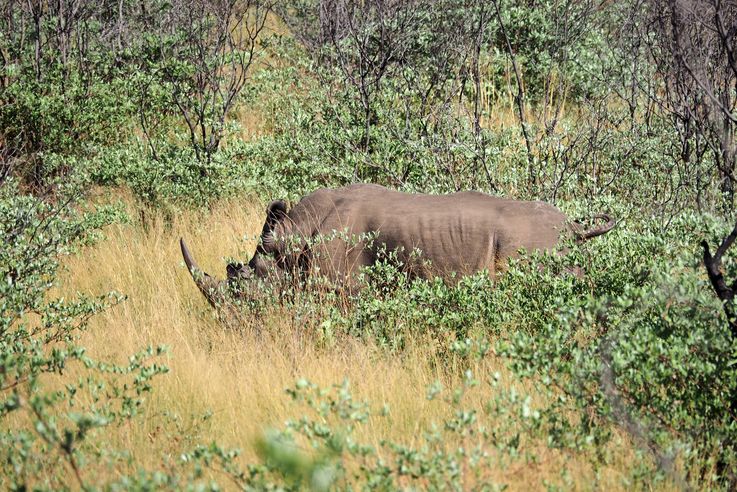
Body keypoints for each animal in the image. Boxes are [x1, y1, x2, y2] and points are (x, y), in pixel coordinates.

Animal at [180, 184, 614, 305]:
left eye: (245, 287)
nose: (229, 323)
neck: (294, 238)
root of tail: (575, 228)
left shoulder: (344, 288)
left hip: (535, 246)